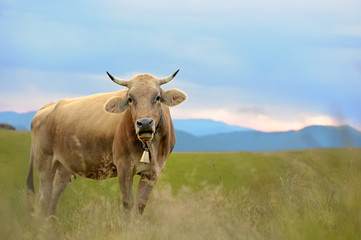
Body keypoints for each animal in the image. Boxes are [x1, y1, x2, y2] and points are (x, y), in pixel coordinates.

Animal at [26, 70, 187, 216]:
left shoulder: (153, 172)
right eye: (130, 99)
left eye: (158, 97)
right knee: (44, 197)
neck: (148, 147)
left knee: (54, 196)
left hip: (63, 167)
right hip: (45, 163)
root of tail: (47, 107)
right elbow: (128, 203)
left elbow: (140, 206)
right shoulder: (124, 167)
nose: (145, 123)